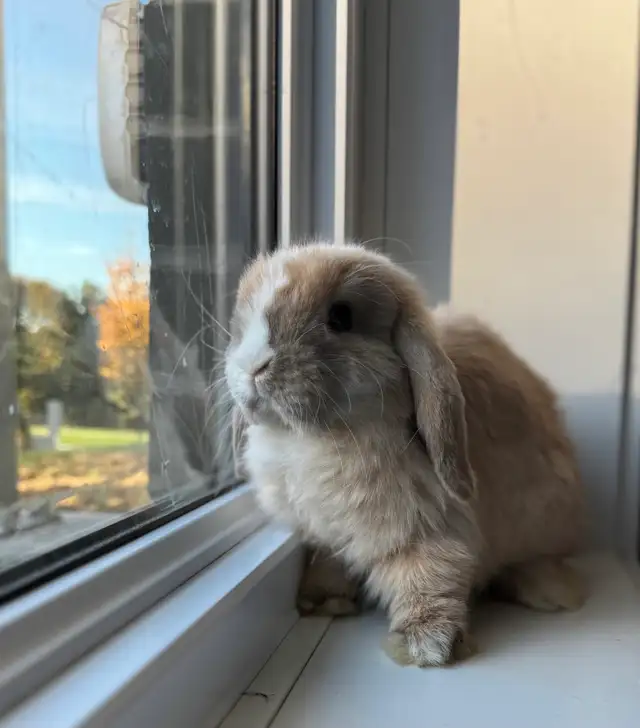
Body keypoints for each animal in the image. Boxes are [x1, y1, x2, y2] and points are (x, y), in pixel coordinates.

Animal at [225, 241, 587, 667]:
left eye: (341, 317)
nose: (253, 366)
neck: (312, 439)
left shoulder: (427, 526)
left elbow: (432, 573)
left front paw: (426, 645)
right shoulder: (325, 534)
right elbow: (329, 559)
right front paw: (323, 600)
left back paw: (550, 593)